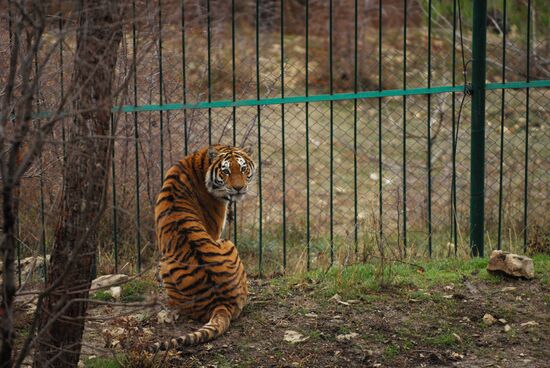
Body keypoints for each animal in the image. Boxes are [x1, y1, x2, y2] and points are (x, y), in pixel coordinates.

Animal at [153, 144, 256, 350]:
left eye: (242, 168)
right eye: (226, 171)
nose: (239, 188)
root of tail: (220, 303)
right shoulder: (215, 232)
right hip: (227, 243)